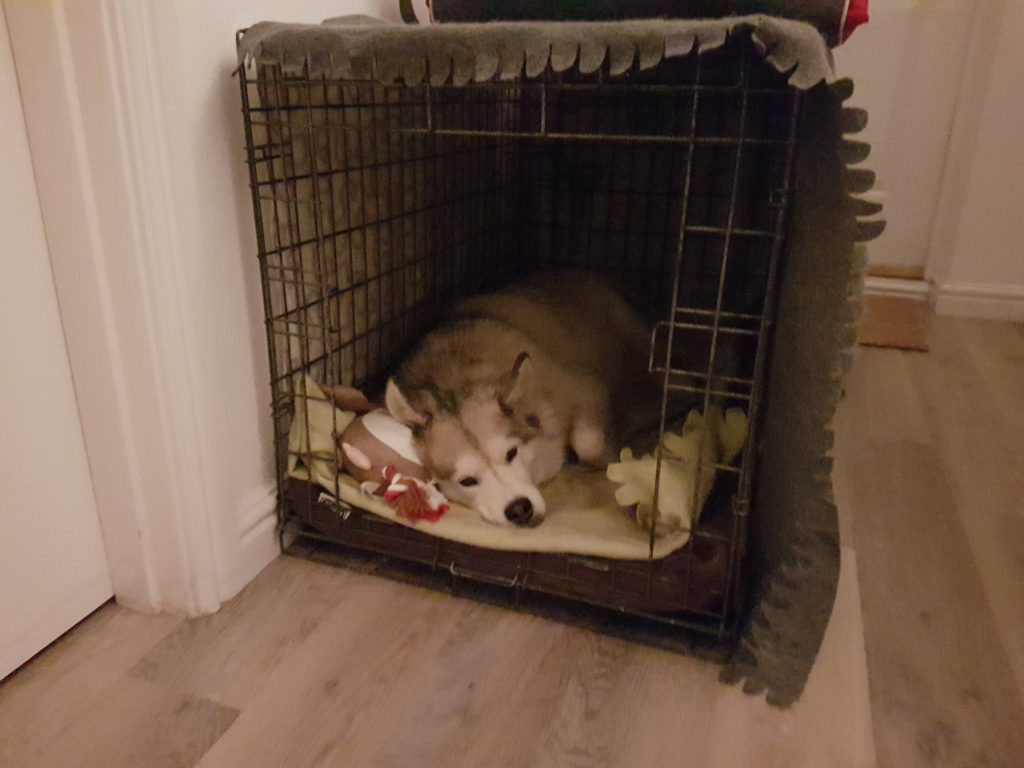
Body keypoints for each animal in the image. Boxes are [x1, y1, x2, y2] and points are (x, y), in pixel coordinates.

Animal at [385, 270, 655, 528]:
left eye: (511, 453)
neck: (453, 381)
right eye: (467, 481)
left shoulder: (586, 386)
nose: (519, 509)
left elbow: (589, 442)